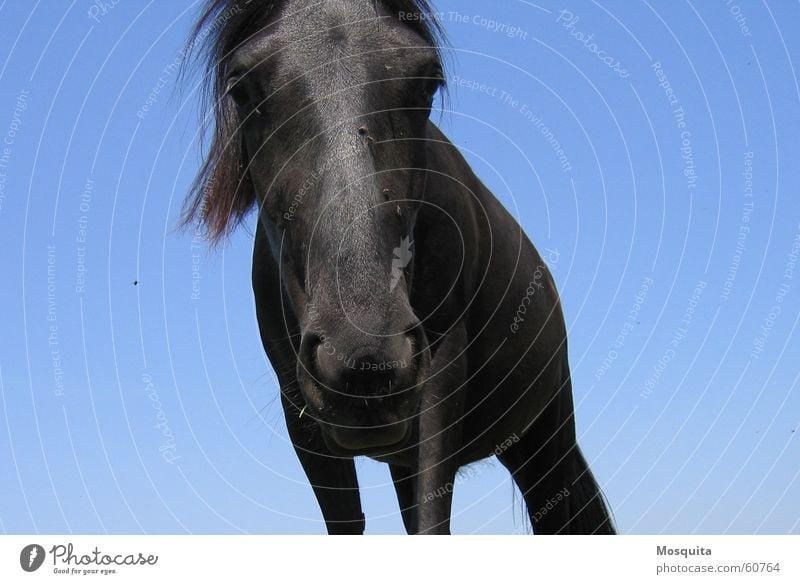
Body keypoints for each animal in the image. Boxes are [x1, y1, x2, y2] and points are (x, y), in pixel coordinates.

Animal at [184, 0, 616, 532]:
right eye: (241, 86)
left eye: (428, 79)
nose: (365, 354)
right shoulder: (298, 406)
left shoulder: (442, 371)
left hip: (545, 433)